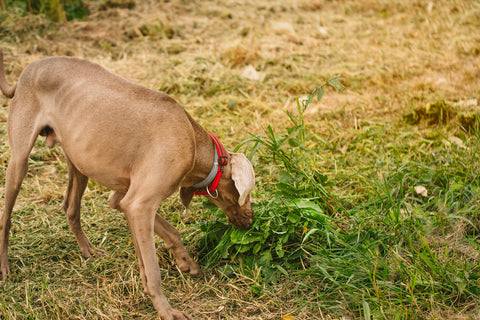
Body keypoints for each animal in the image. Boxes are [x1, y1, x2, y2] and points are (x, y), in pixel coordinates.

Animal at [0, 50, 255, 320]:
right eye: (247, 194)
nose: (251, 221)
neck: (194, 142)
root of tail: (26, 72)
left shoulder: (124, 201)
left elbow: (168, 236)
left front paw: (186, 263)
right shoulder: (139, 205)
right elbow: (153, 270)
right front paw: (166, 310)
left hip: (78, 162)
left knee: (70, 208)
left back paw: (88, 250)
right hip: (19, 161)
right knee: (6, 216)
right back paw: (4, 267)